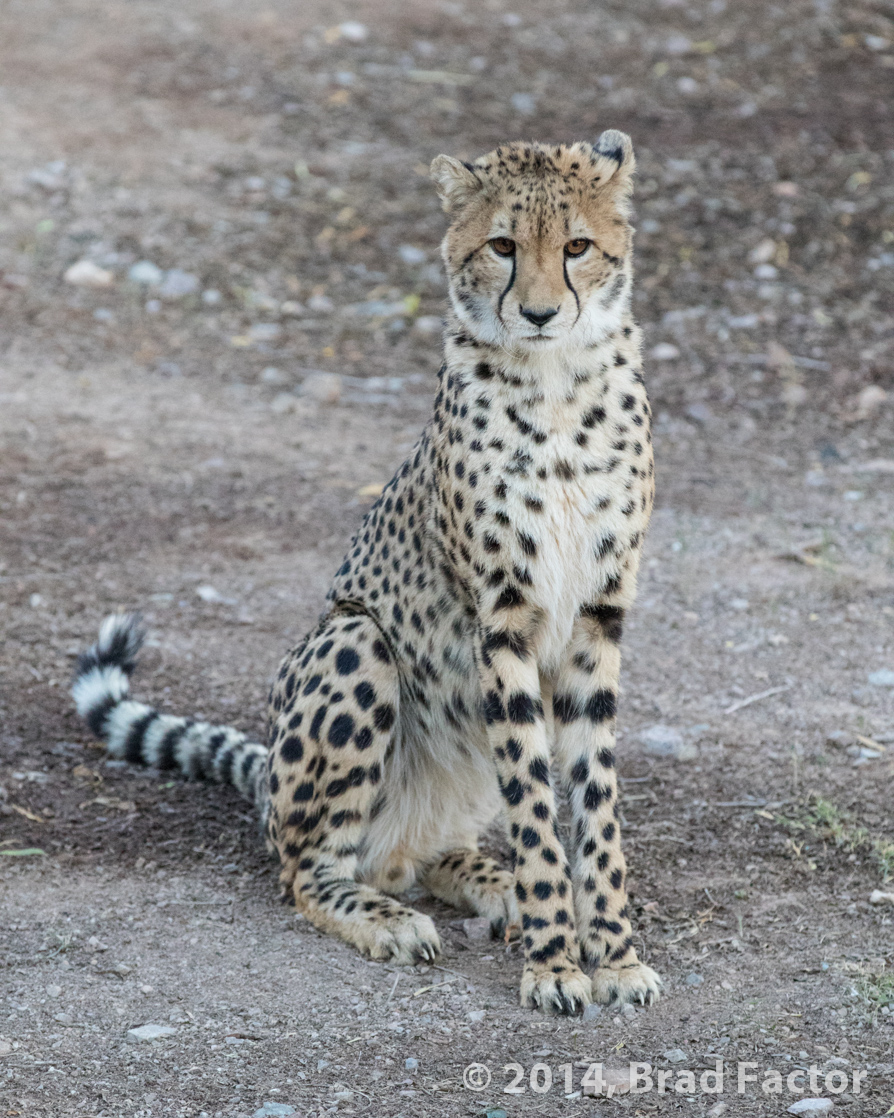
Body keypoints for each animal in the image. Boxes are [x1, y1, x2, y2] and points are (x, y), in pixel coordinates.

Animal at [72, 130, 662, 1015]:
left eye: (577, 248)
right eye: (502, 246)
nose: (538, 312)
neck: (557, 385)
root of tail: (267, 779)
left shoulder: (597, 621)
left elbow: (593, 804)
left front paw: (613, 954)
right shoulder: (502, 624)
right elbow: (536, 807)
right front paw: (558, 964)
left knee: (424, 855)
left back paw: (495, 888)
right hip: (356, 644)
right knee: (309, 868)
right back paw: (393, 918)